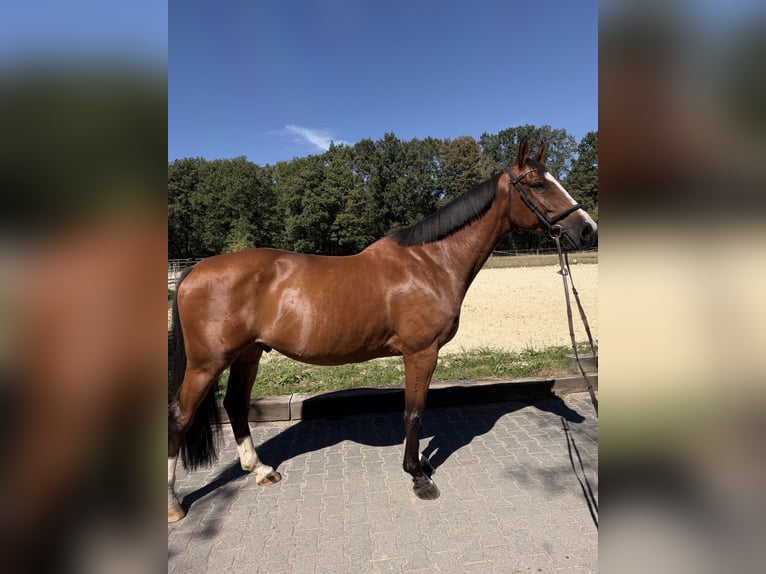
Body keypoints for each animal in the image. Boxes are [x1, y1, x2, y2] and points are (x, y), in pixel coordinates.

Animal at [168, 139, 597, 522]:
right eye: (537, 184)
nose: (588, 230)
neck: (430, 262)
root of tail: (192, 271)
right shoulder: (421, 353)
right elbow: (414, 413)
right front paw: (418, 476)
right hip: (207, 363)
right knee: (180, 415)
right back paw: (174, 505)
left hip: (248, 354)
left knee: (236, 405)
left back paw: (260, 471)